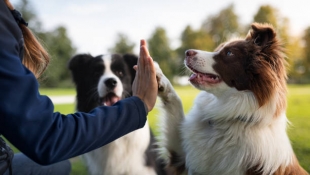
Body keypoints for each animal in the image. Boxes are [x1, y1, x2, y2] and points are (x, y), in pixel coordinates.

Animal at [156, 22, 308, 174]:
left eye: (229, 53)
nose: (187, 52)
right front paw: (159, 77)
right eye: (217, 50)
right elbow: (175, 104)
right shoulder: (181, 159)